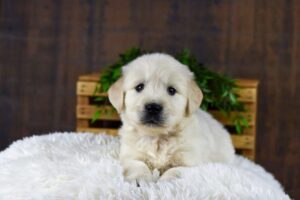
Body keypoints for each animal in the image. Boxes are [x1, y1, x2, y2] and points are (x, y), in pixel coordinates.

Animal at [108, 53, 234, 183]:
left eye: (171, 90)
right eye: (139, 87)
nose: (153, 108)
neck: (157, 138)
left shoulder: (189, 162)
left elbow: (175, 171)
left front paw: (166, 182)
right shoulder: (130, 155)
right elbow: (138, 165)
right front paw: (140, 179)